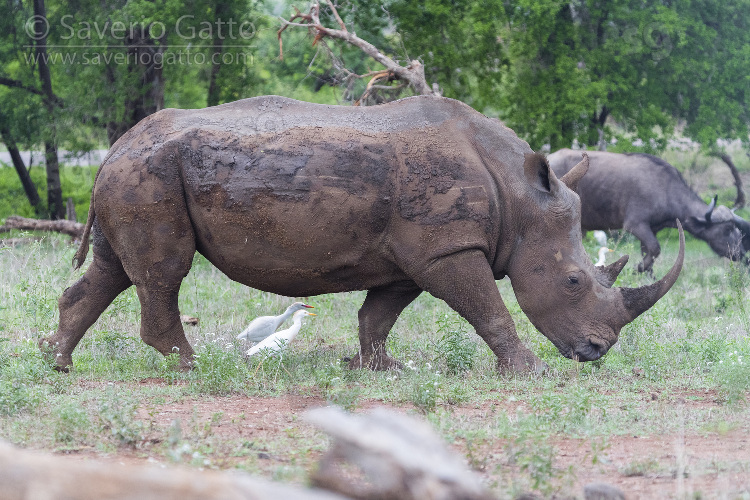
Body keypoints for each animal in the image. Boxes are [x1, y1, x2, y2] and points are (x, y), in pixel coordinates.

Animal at [41, 95, 688, 374]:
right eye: (575, 281)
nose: (596, 353)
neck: (518, 195)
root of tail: (115, 147)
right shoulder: (448, 248)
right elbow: (490, 310)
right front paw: (530, 371)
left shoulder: (414, 254)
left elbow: (379, 313)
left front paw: (380, 368)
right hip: (148, 174)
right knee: (162, 272)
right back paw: (189, 366)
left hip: (136, 173)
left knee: (113, 270)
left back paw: (58, 364)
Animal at [548, 147, 748, 272]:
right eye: (727, 229)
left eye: (736, 228)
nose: (742, 254)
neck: (665, 189)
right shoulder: (635, 225)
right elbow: (655, 249)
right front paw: (635, 269)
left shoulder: (652, 229)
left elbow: (650, 255)